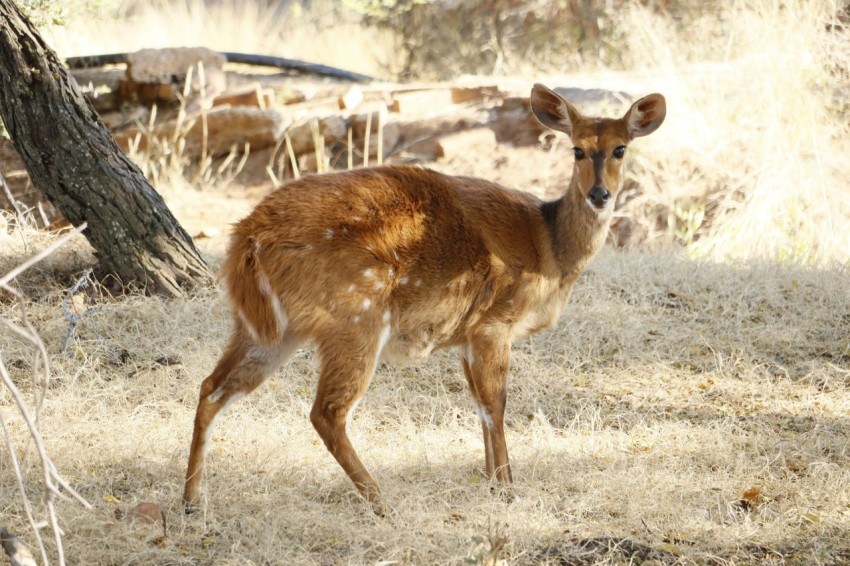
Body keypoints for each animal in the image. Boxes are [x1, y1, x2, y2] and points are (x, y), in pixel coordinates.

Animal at [182, 83, 666, 515]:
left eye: (620, 149)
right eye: (577, 150)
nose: (600, 195)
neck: (548, 245)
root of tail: (248, 237)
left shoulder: (466, 338)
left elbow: (479, 406)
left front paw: (491, 482)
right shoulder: (494, 326)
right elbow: (496, 405)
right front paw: (508, 491)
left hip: (268, 328)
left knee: (211, 386)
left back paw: (191, 499)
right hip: (358, 318)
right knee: (327, 411)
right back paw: (383, 503)